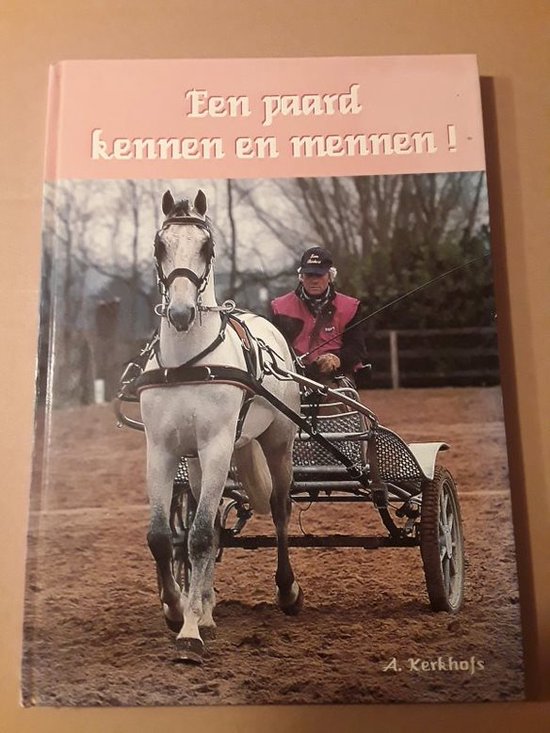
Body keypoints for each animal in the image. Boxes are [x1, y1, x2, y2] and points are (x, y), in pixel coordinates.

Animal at [137, 189, 303, 663]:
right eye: (159, 246)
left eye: (207, 247)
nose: (179, 312)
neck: (188, 365)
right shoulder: (162, 449)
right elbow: (166, 537)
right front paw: (178, 608)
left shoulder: (217, 446)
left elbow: (195, 539)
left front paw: (190, 633)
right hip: (196, 460)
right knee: (207, 524)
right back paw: (206, 607)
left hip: (276, 442)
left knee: (280, 509)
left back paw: (287, 591)